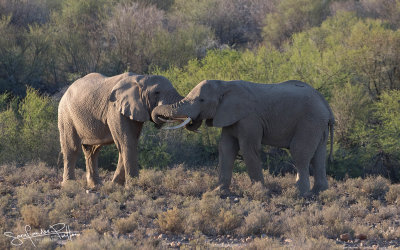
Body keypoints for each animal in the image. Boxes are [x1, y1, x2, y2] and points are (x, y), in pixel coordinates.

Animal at [152, 79, 336, 195]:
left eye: (202, 100)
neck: (224, 84)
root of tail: (326, 105)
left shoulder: (249, 119)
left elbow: (248, 148)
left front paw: (260, 192)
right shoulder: (229, 116)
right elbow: (226, 148)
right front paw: (218, 192)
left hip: (309, 121)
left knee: (300, 153)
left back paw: (299, 192)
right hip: (318, 124)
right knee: (318, 155)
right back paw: (319, 192)